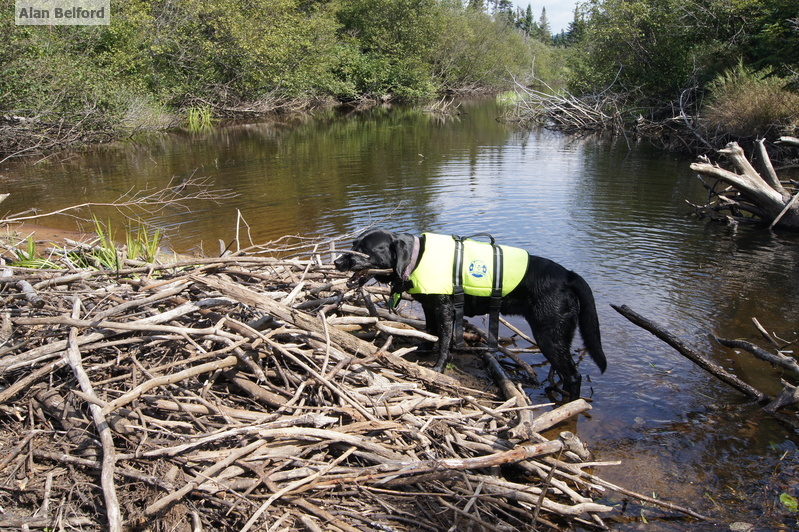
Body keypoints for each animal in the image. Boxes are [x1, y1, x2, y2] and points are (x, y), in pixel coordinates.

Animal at [336, 229, 608, 400]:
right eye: (353, 245)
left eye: (365, 250)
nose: (338, 262)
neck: (416, 259)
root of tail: (568, 275)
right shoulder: (430, 308)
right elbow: (431, 332)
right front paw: (423, 350)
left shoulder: (445, 310)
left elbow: (444, 341)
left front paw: (438, 368)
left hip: (550, 335)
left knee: (574, 376)